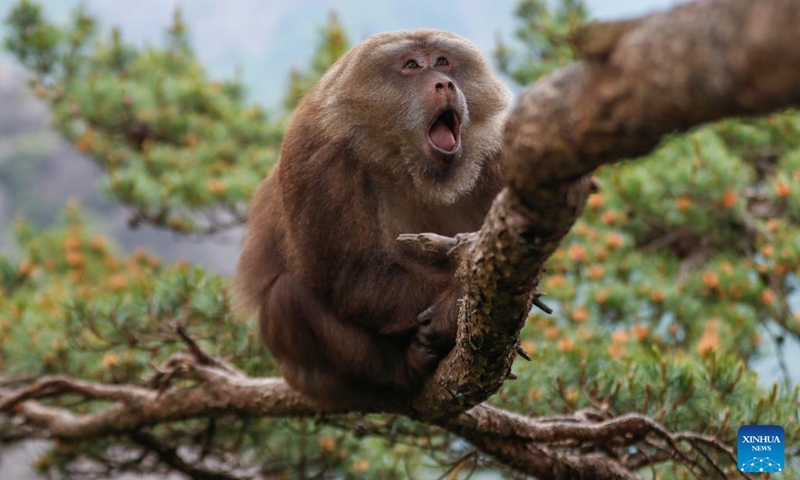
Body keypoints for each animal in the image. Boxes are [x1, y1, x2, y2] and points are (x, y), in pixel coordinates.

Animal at [234, 30, 511, 406]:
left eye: (442, 61)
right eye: (411, 66)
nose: (444, 83)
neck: (406, 164)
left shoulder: (499, 156)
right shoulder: (316, 157)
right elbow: (349, 276)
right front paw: (452, 310)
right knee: (286, 297)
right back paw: (404, 368)